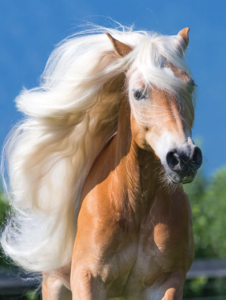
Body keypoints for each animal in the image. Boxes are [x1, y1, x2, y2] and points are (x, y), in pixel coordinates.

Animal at [0, 25, 202, 300]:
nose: (184, 158)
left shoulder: (168, 282)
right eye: (138, 93)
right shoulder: (87, 278)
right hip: (54, 283)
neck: (134, 204)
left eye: (189, 86)